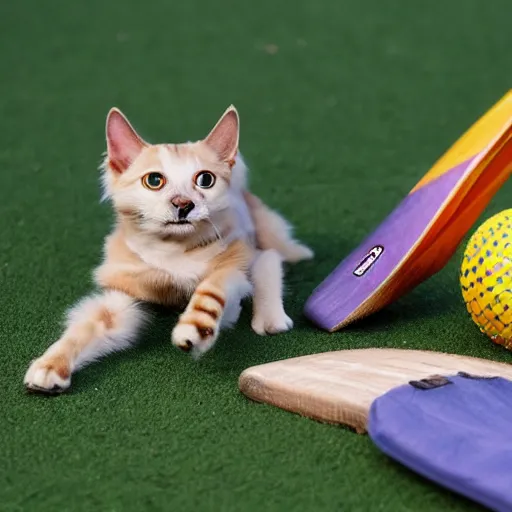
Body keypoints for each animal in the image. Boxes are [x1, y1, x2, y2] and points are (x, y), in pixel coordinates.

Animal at [23, 106, 312, 394]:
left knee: (270, 258)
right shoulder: (122, 294)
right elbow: (86, 327)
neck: (172, 249)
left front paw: (194, 329)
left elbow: (212, 288)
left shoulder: (232, 265)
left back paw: (271, 318)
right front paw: (50, 365)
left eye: (205, 180)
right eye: (154, 180)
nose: (183, 204)